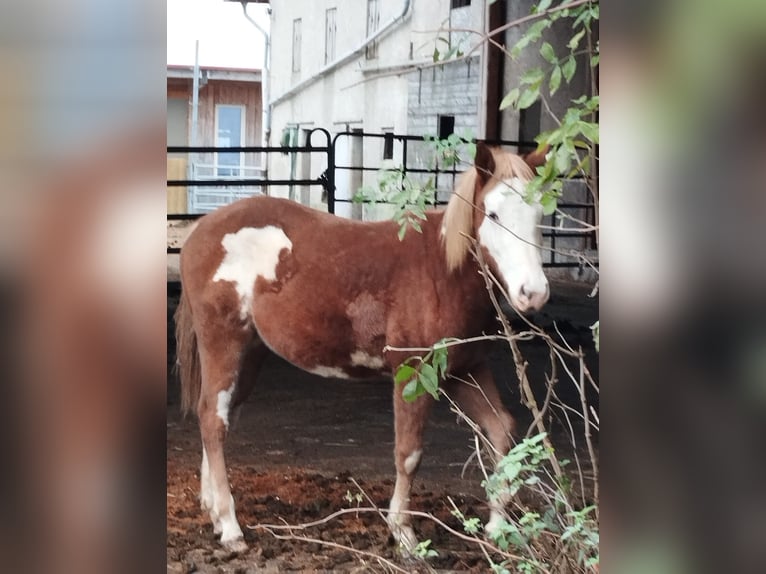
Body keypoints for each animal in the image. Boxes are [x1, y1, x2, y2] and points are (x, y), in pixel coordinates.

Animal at [174, 144, 552, 552]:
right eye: (493, 214)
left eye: (540, 213)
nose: (533, 293)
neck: (442, 271)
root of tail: (198, 232)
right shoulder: (414, 371)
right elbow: (409, 454)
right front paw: (404, 533)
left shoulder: (464, 370)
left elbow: (502, 430)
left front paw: (498, 527)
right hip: (223, 342)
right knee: (213, 418)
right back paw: (230, 527)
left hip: (250, 355)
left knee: (218, 413)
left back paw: (213, 511)